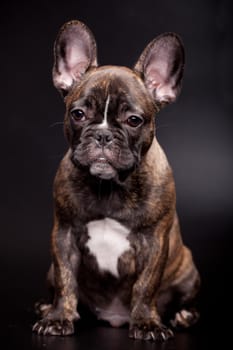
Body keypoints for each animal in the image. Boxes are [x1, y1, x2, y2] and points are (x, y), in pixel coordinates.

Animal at [32, 19, 200, 342]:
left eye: (134, 120)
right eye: (78, 114)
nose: (103, 135)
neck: (109, 187)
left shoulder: (154, 242)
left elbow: (146, 285)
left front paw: (147, 323)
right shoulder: (64, 235)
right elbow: (65, 279)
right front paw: (58, 317)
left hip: (188, 268)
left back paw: (183, 316)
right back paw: (45, 306)